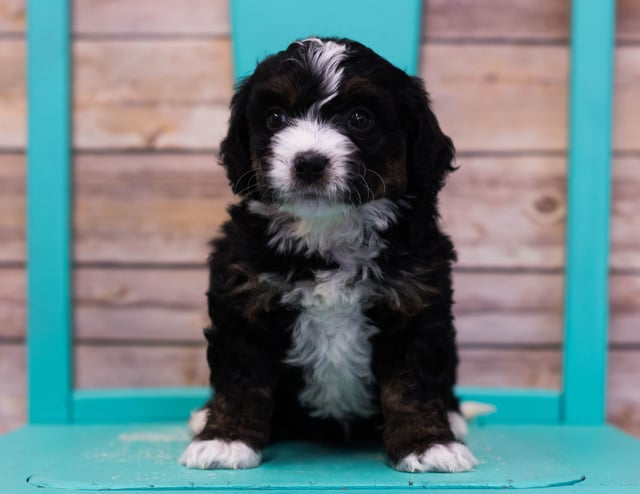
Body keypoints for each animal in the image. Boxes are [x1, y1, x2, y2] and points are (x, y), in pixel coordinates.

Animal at [178, 36, 478, 472]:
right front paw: (226, 439)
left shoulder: (414, 301)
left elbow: (413, 385)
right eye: (275, 117)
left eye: (359, 118)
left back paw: (453, 417)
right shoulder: (244, 299)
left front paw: (428, 444)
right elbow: (241, 378)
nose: (308, 163)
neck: (326, 233)